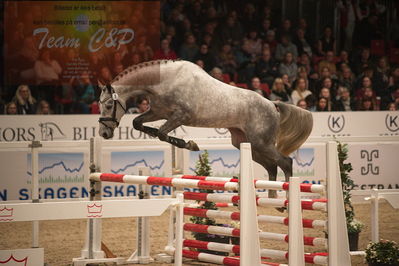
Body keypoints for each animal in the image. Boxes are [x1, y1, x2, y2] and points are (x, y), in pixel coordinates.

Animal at [98, 60, 314, 197]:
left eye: (108, 105)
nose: (103, 133)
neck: (164, 80)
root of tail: (272, 104)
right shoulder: (158, 112)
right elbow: (139, 124)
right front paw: (190, 144)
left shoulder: (180, 116)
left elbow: (161, 133)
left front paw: (190, 144)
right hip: (246, 144)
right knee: (271, 166)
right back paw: (272, 198)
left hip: (261, 143)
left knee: (285, 162)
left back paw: (286, 201)